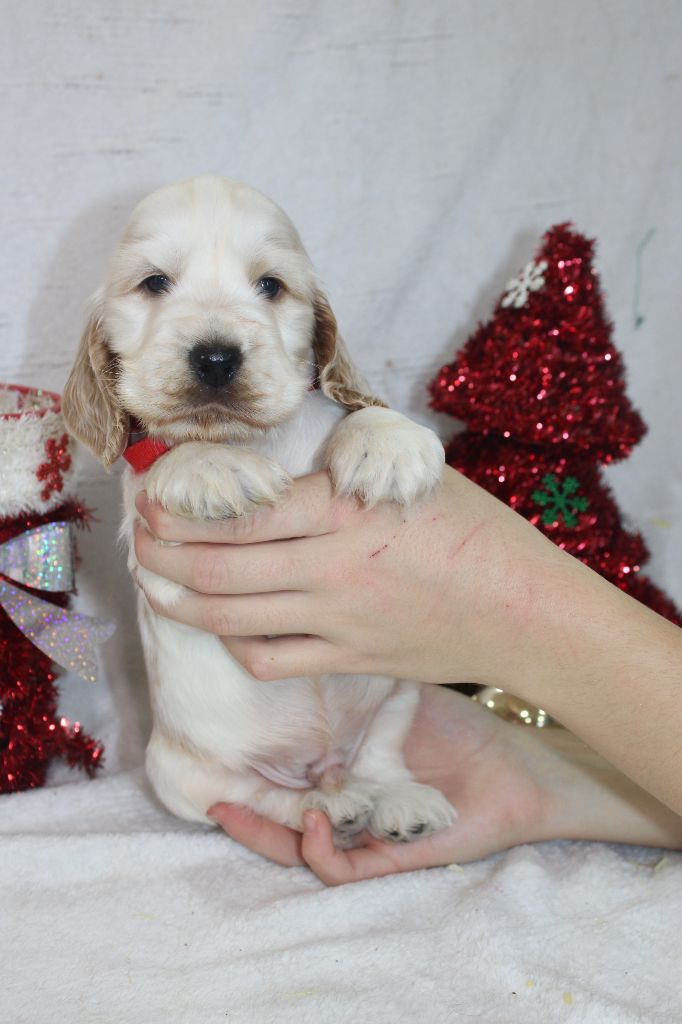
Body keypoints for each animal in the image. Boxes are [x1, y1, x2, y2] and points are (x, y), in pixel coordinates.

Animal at [63, 176, 454, 847]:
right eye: (154, 283)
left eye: (271, 285)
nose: (216, 358)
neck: (252, 439)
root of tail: (319, 764)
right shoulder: (156, 554)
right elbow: (176, 462)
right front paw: (210, 467)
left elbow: (349, 409)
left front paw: (388, 442)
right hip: (181, 776)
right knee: (264, 799)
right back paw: (326, 808)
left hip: (401, 691)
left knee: (378, 759)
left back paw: (400, 802)